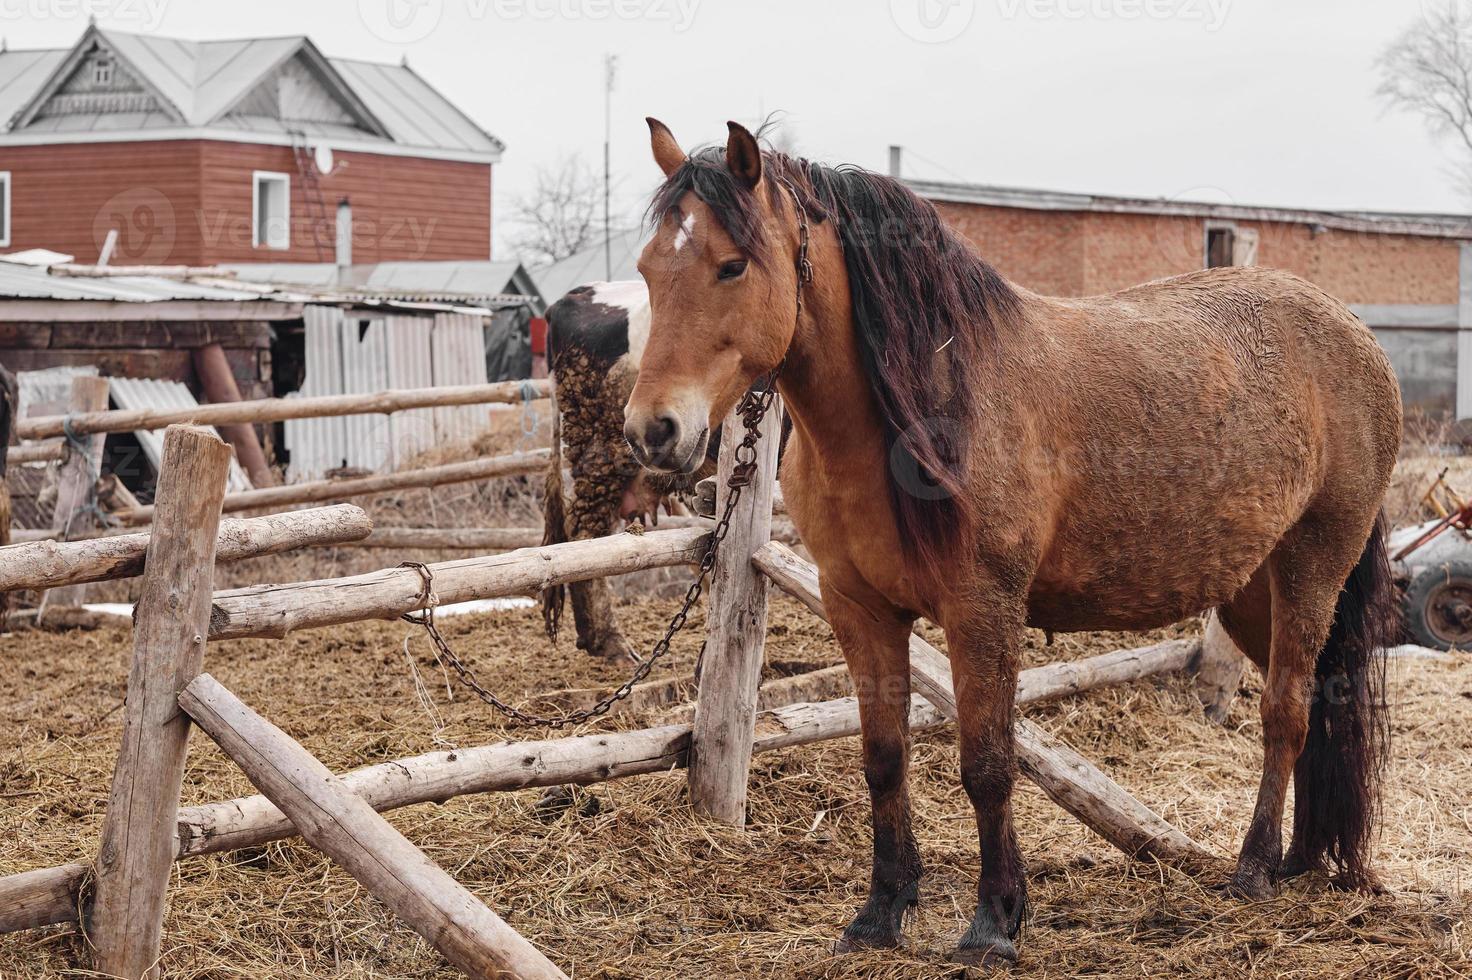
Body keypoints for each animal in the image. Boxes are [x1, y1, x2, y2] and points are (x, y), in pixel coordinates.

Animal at [624, 116, 1401, 959]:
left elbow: (989, 764)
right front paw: (881, 912)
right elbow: (884, 758)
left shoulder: (982, 609)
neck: (915, 418)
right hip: (1251, 592)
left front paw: (995, 920)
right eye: (647, 268)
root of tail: (1355, 333)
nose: (652, 430)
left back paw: (1255, 869)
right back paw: (1301, 859)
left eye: (732, 265)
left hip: (1311, 568)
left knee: (1285, 714)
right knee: (1312, 708)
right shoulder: (857, 609)